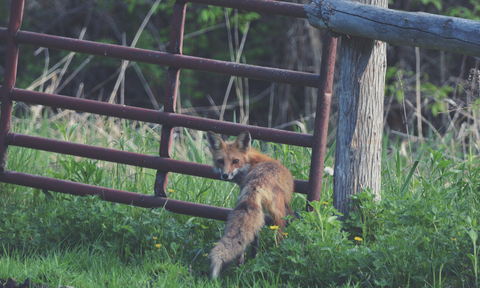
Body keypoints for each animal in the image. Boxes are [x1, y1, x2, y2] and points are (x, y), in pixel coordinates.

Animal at [207, 131, 294, 280]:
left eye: (235, 161)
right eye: (220, 161)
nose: (225, 175)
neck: (253, 163)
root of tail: (256, 183)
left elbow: (255, 240)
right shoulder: (285, 205)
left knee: (243, 246)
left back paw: (240, 268)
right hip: (279, 217)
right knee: (278, 238)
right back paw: (276, 257)